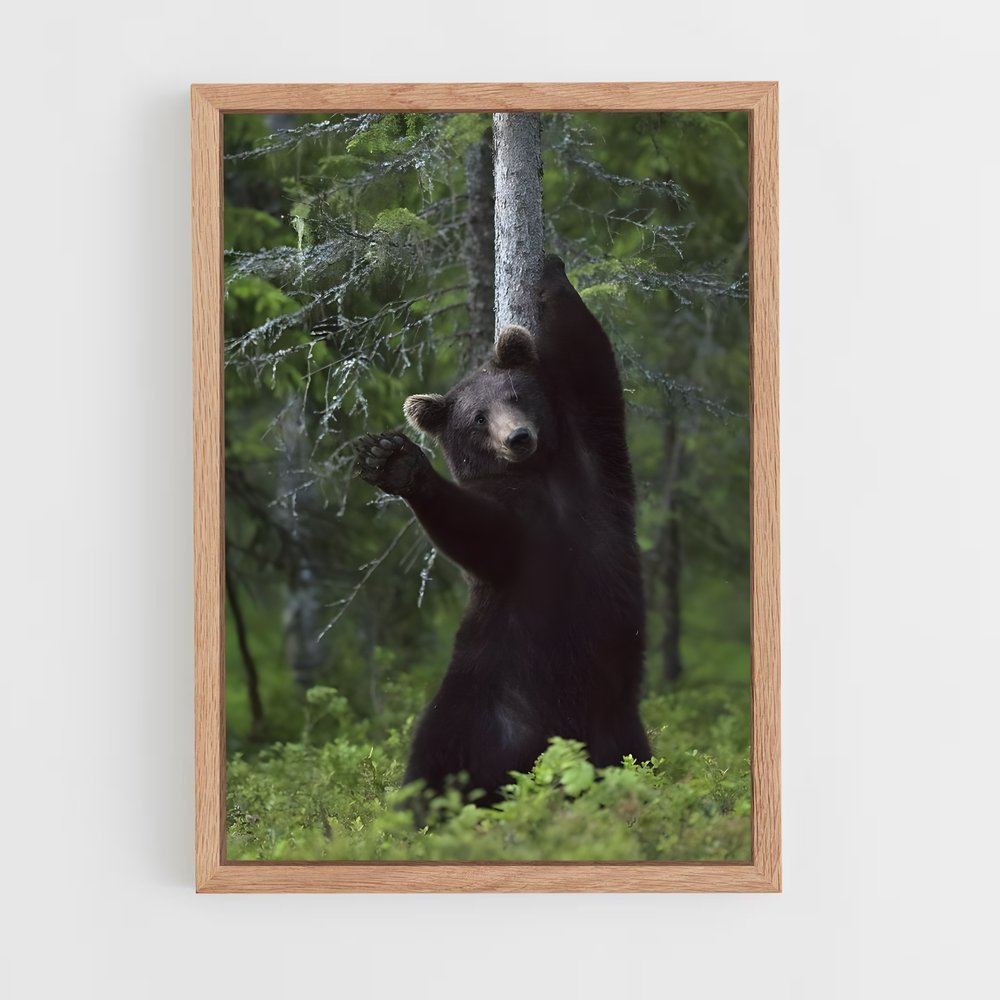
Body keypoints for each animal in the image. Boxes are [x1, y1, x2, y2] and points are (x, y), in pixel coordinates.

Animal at [356, 255, 650, 805]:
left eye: (516, 394)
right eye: (477, 418)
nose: (517, 437)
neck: (542, 475)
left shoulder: (595, 455)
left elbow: (590, 357)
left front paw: (552, 272)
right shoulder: (518, 530)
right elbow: (477, 533)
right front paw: (395, 462)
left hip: (619, 725)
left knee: (635, 762)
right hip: (483, 699)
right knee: (434, 763)